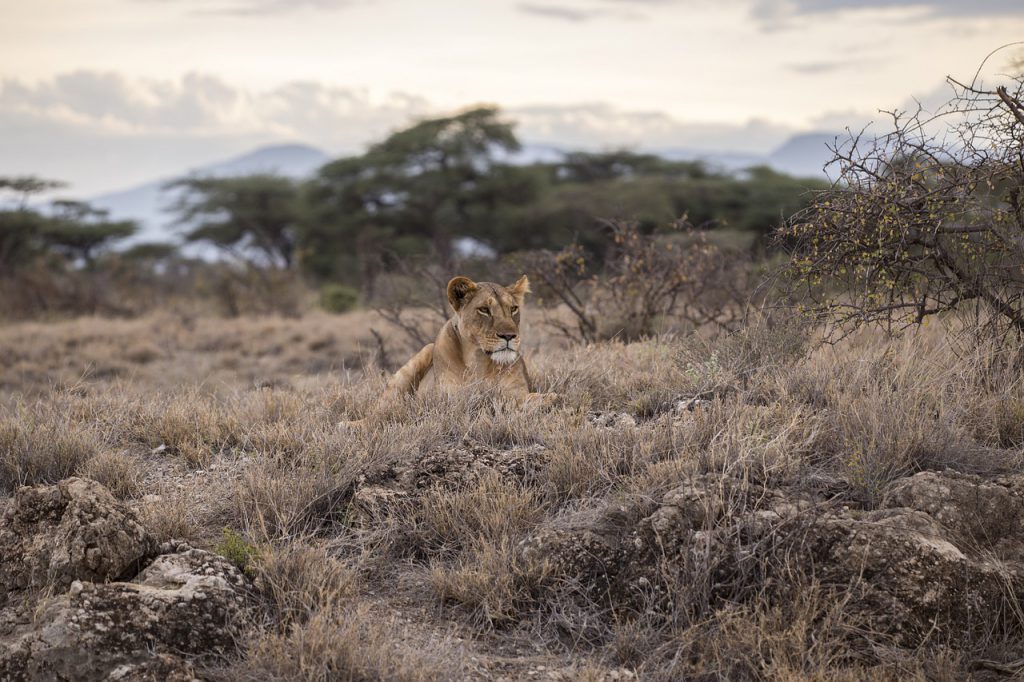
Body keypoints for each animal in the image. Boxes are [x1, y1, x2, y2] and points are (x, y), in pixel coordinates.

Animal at [347, 274, 551, 424]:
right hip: (417, 360)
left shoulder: (516, 392)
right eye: (484, 310)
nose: (509, 336)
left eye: (514, 309)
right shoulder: (451, 401)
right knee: (380, 413)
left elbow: (541, 398)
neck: (480, 361)